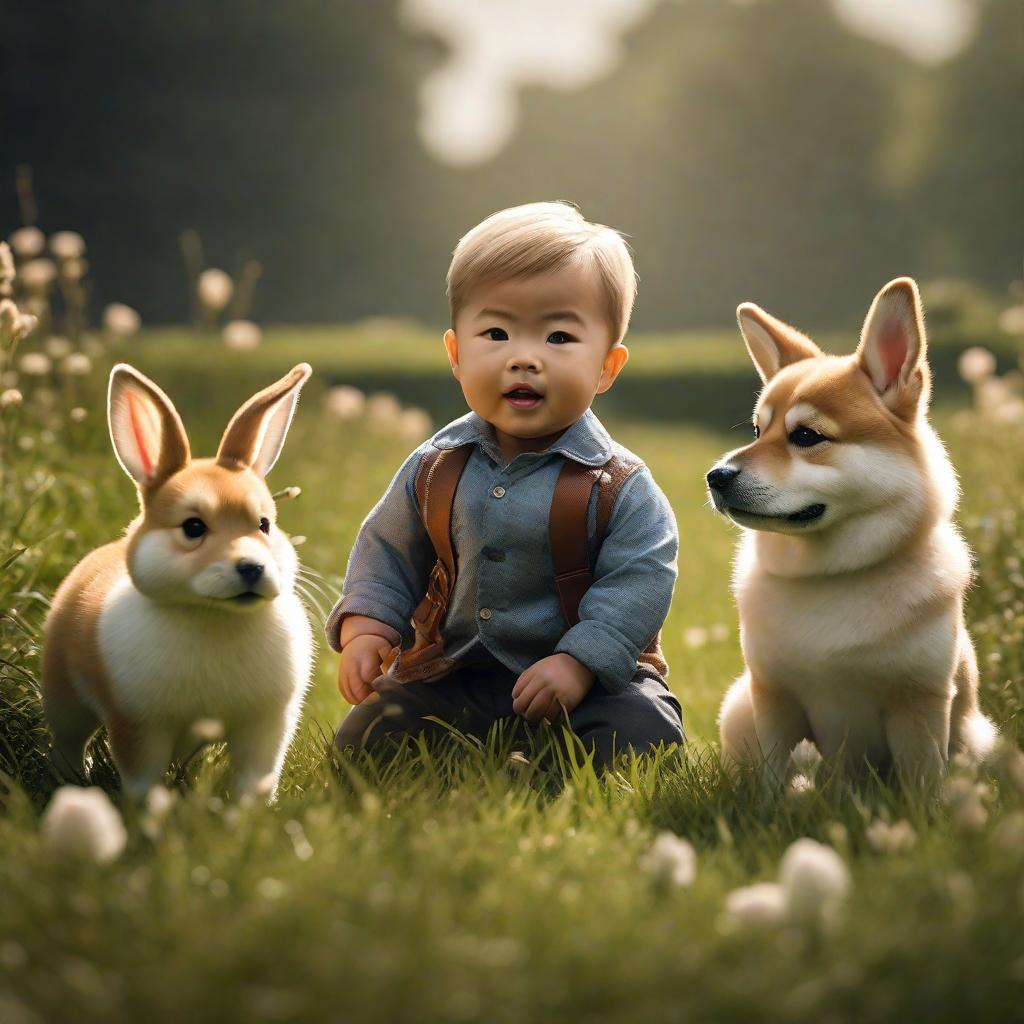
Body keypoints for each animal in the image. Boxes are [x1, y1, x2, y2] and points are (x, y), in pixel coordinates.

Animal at [43, 360, 315, 798]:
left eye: (264, 524)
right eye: (193, 527)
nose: (252, 568)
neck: (213, 615)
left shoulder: (265, 725)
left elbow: (256, 777)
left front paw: (251, 812)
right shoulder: (139, 725)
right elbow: (142, 777)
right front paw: (149, 812)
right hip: (64, 696)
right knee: (67, 740)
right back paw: (74, 779)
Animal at [708, 276, 995, 778]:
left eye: (806, 436)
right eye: (757, 432)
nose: (716, 476)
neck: (830, 577)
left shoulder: (919, 704)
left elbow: (923, 781)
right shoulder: (773, 699)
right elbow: (771, 778)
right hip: (739, 707)